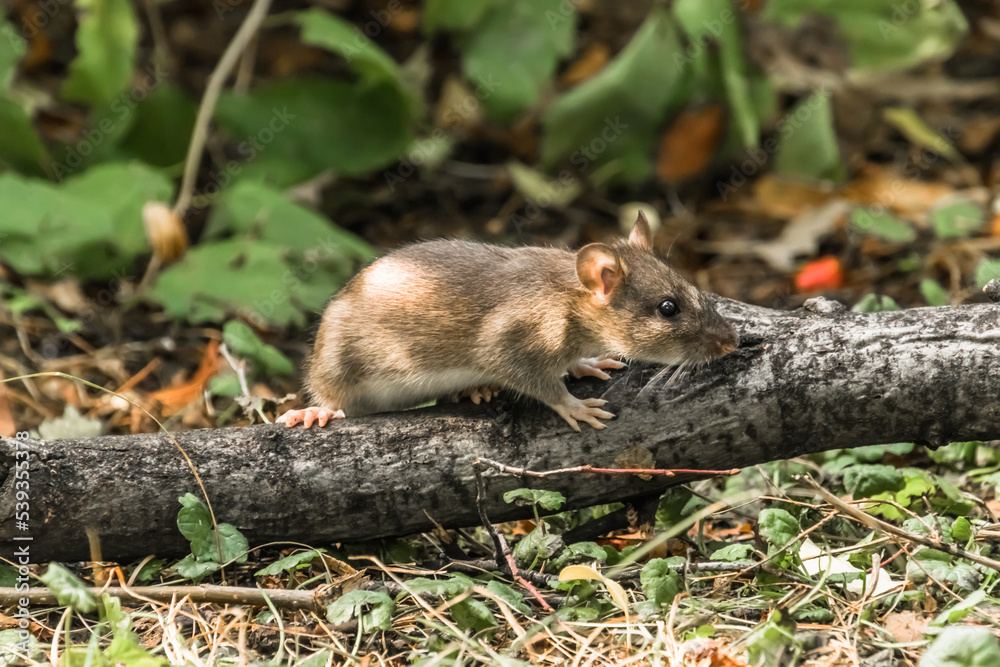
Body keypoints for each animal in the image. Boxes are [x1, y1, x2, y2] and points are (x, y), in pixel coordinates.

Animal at [278, 212, 738, 431]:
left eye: (690, 286)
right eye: (668, 308)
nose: (732, 340)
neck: (568, 295)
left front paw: (587, 363)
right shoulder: (511, 341)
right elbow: (537, 382)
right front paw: (574, 405)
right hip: (337, 364)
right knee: (332, 396)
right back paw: (317, 412)